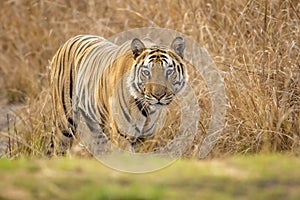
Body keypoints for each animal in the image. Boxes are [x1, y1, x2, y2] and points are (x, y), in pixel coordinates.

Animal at [50, 34, 189, 153]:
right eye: (146, 72)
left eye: (169, 71)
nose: (158, 96)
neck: (147, 109)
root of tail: (69, 40)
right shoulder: (122, 135)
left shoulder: (146, 138)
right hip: (65, 123)